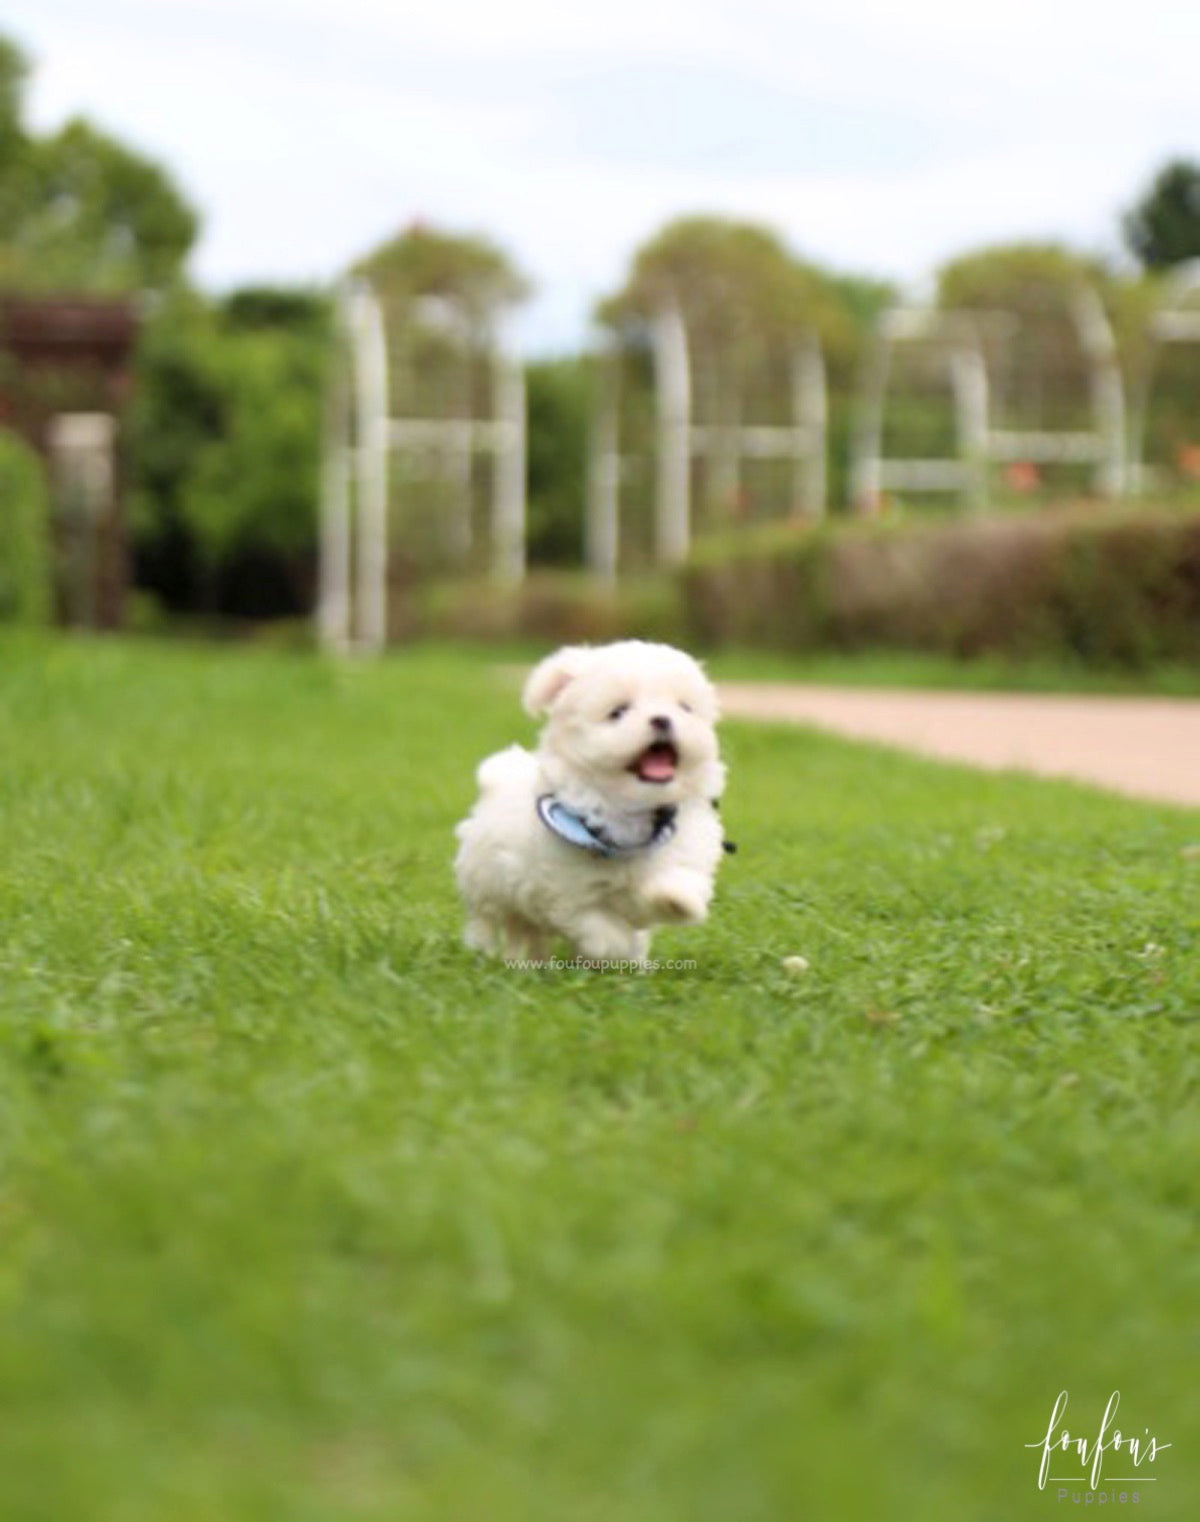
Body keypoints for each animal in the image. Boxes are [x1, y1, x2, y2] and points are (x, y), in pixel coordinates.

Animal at [453, 642, 727, 961]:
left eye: (684, 707)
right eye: (618, 711)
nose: (662, 718)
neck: (629, 811)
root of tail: (497, 778)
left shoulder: (683, 848)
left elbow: (679, 879)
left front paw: (675, 900)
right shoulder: (568, 891)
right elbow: (601, 928)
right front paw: (616, 948)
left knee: (528, 932)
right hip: (485, 884)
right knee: (488, 921)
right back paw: (486, 953)